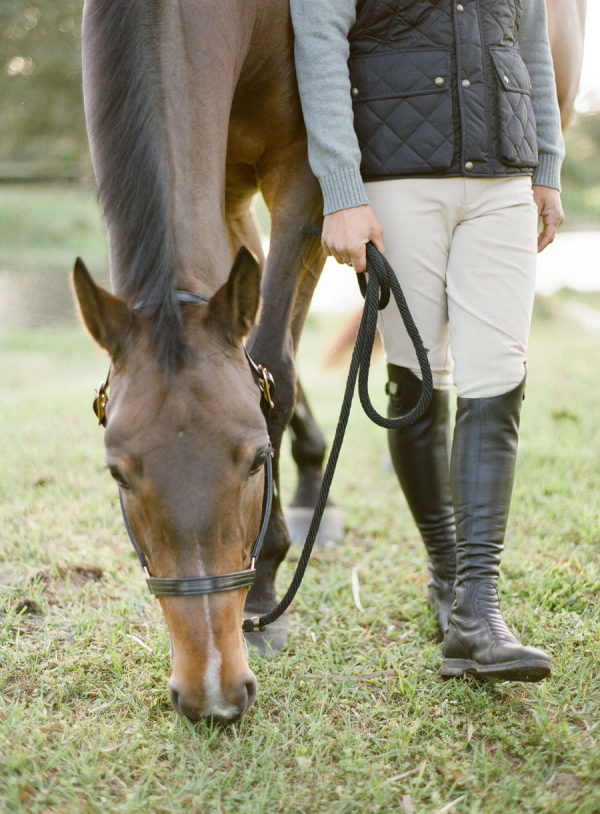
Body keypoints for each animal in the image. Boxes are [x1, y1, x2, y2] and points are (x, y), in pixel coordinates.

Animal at [75, 0, 328, 728]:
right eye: (118, 474)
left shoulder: (306, 170)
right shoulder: (220, 188)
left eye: (256, 460)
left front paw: (266, 581)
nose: (212, 692)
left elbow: (274, 366)